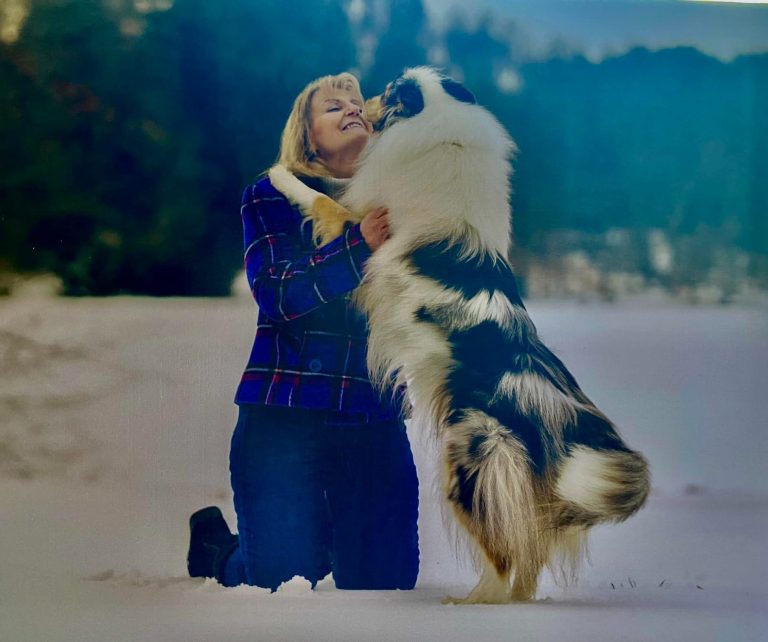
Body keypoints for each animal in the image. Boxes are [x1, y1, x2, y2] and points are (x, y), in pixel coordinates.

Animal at [268, 66, 648, 600]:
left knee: (506, 556)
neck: (442, 129)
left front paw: (279, 174)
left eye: (385, 91)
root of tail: (560, 413)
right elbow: (329, 184)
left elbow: (322, 198)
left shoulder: (362, 230)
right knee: (527, 557)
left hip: (474, 463)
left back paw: (468, 603)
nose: (360, 103)